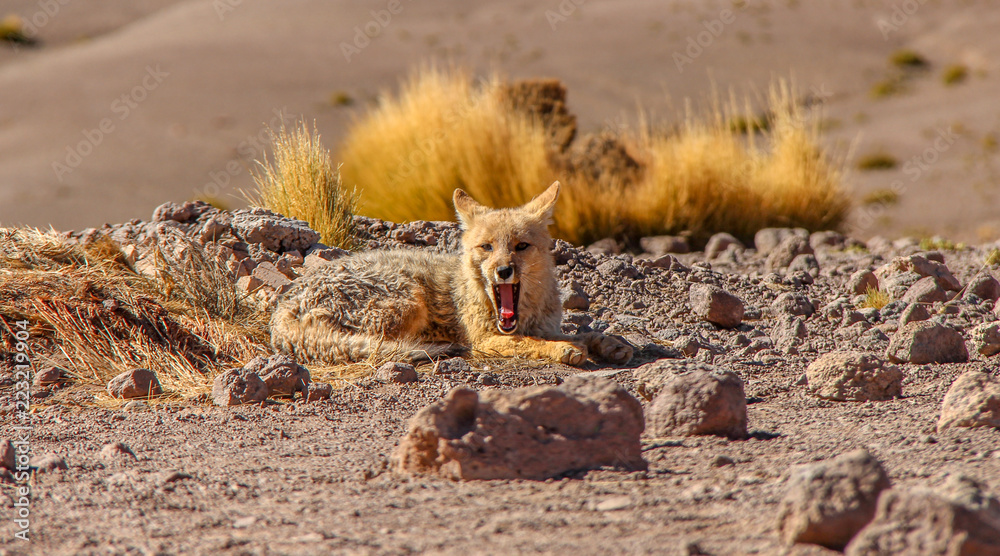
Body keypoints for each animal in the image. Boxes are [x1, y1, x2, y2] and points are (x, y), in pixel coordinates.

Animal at [269, 181, 633, 366]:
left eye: (521, 246)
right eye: (487, 247)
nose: (503, 271)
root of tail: (283, 306)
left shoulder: (546, 326)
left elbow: (582, 333)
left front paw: (610, 343)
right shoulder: (484, 340)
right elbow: (531, 342)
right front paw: (563, 350)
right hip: (408, 301)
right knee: (378, 346)